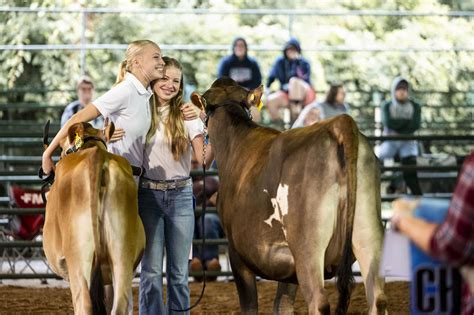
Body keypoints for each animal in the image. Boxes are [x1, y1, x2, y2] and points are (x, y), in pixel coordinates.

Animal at [43, 122, 145, 314]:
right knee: (119, 305)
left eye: (63, 149)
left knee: (84, 304)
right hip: (122, 254)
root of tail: (97, 156)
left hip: (78, 258)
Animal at [191, 77, 386, 315]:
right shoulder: (287, 267)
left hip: (307, 246)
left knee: (319, 302)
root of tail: (338, 124)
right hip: (368, 234)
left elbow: (250, 306)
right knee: (378, 298)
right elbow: (282, 306)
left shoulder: (237, 254)